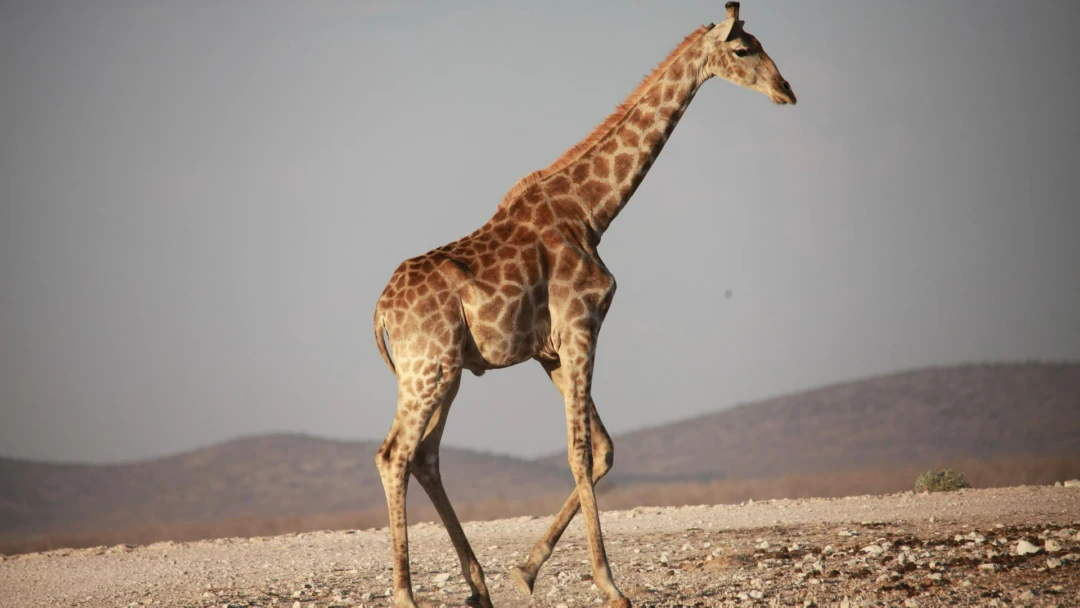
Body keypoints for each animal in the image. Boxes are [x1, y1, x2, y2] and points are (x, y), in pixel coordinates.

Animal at [371, 4, 795, 607]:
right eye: (743, 49)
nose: (787, 90)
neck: (592, 211)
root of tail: (382, 308)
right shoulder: (581, 324)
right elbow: (580, 452)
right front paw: (609, 585)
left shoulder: (550, 350)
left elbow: (605, 449)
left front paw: (525, 570)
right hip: (426, 368)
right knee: (394, 455)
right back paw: (406, 594)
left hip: (445, 371)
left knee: (426, 457)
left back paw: (478, 586)